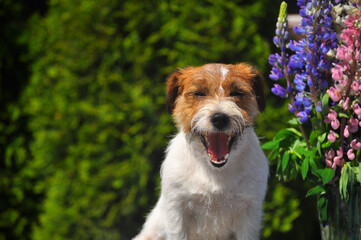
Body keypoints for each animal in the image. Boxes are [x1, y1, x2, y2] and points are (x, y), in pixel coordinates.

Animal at [134, 62, 268, 239]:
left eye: (237, 92)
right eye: (199, 93)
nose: (219, 118)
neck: (215, 172)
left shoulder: (249, 211)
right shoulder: (177, 210)